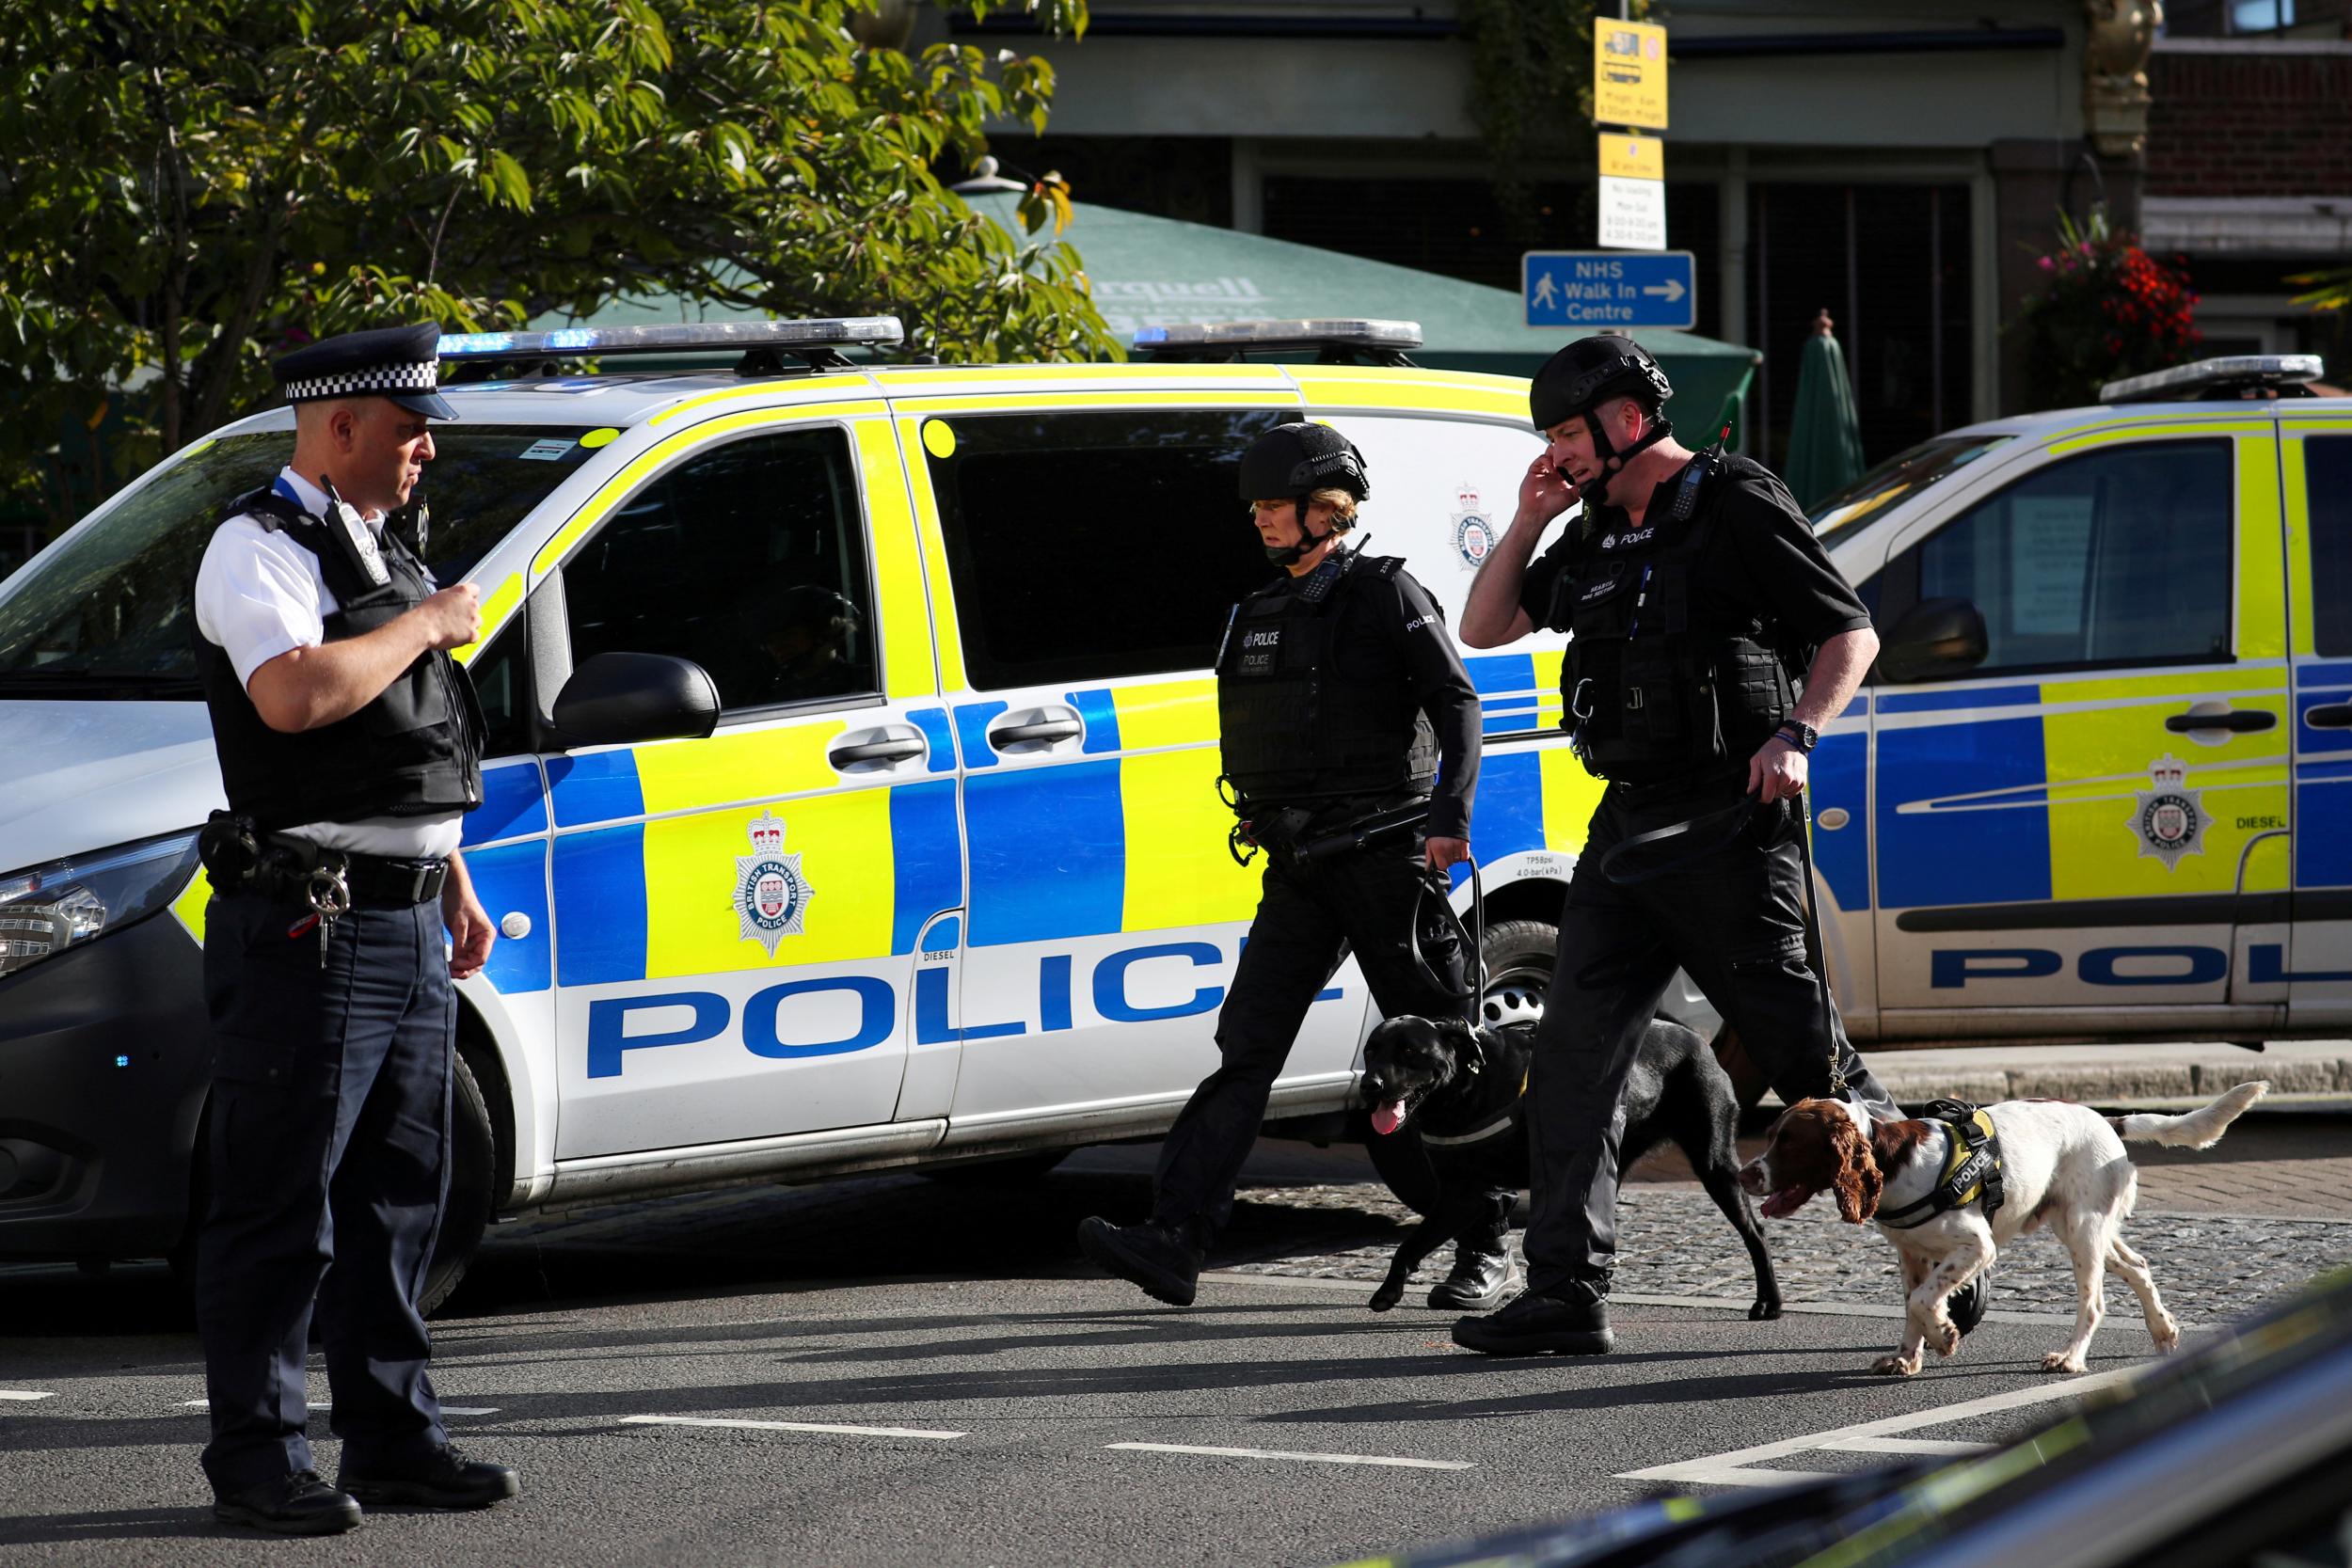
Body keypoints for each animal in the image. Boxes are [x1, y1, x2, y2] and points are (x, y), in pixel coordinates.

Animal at [1364, 1020, 1778, 1325]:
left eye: (1410, 1052)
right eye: (1370, 1052)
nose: (1371, 1084)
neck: (1472, 1086)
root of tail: (1698, 1040)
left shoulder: (1465, 1196)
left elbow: (1410, 1242)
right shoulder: (1457, 1193)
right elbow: (1412, 1244)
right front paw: (1390, 1289)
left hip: (1715, 1164)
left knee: (1756, 1233)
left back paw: (1768, 1302)